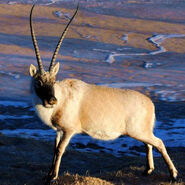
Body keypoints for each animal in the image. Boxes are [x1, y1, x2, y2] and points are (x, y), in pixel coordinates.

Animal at [28, 3, 178, 183]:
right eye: (39, 82)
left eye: (53, 80)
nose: (52, 101)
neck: (63, 95)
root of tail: (150, 103)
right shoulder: (59, 130)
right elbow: (54, 149)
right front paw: (49, 174)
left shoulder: (69, 130)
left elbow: (60, 150)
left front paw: (53, 177)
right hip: (141, 132)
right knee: (149, 144)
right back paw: (148, 170)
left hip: (139, 131)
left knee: (159, 142)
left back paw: (173, 174)